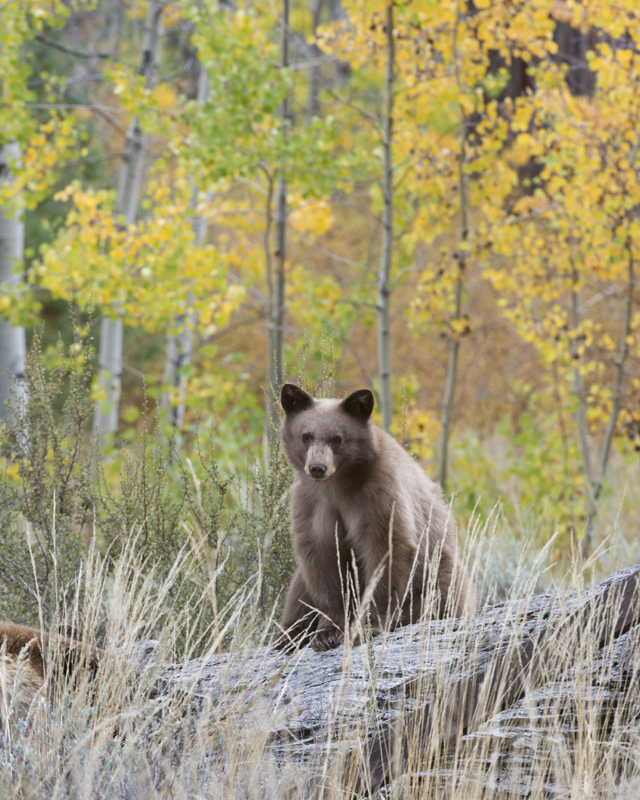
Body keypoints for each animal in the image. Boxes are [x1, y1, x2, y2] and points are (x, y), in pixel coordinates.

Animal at [270, 384, 476, 652]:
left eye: (337, 438)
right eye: (306, 435)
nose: (317, 467)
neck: (338, 485)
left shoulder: (378, 495)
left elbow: (385, 550)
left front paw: (366, 627)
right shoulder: (312, 505)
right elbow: (321, 560)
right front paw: (327, 633)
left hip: (441, 568)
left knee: (442, 593)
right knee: (299, 589)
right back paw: (286, 635)